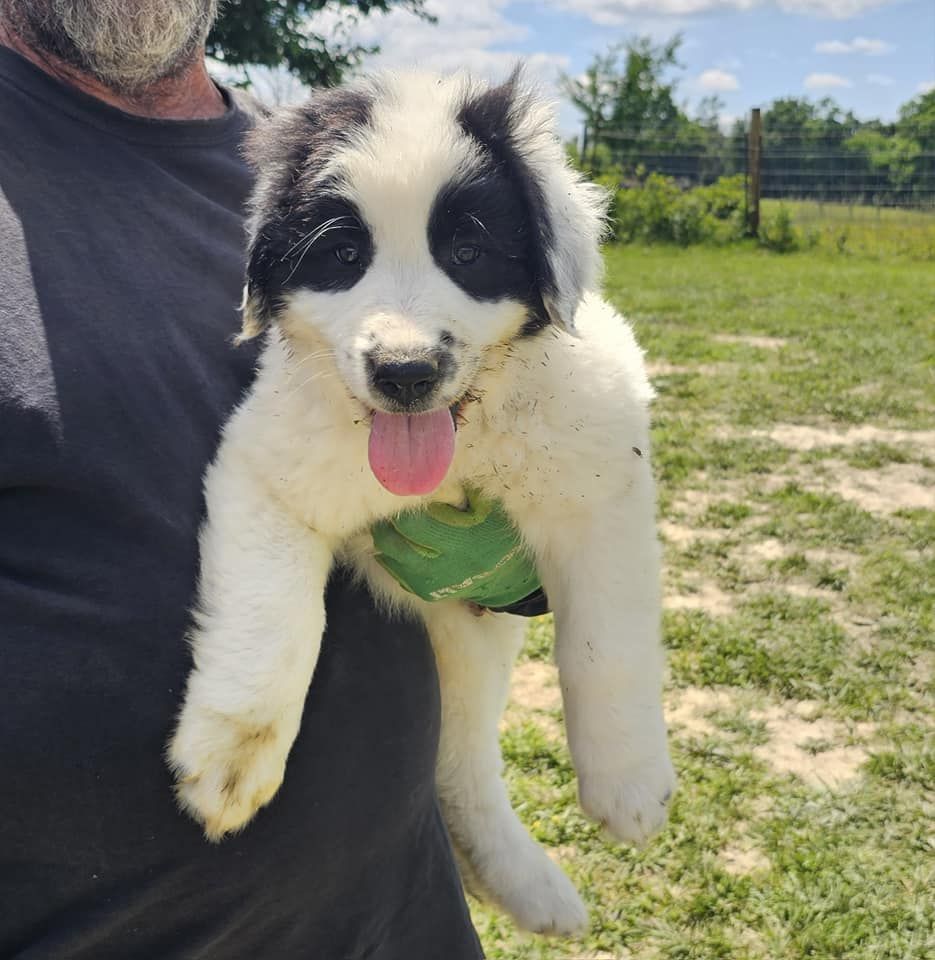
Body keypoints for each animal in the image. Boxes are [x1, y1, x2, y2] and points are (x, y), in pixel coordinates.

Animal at [168, 68, 676, 935]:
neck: (460, 449)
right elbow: (272, 622)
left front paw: (629, 784)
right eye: (343, 256)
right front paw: (229, 759)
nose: (404, 372)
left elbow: (604, 648)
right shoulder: (266, 471)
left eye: (467, 253)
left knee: (464, 757)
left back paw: (527, 883)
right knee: (456, 761)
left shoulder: (600, 488)